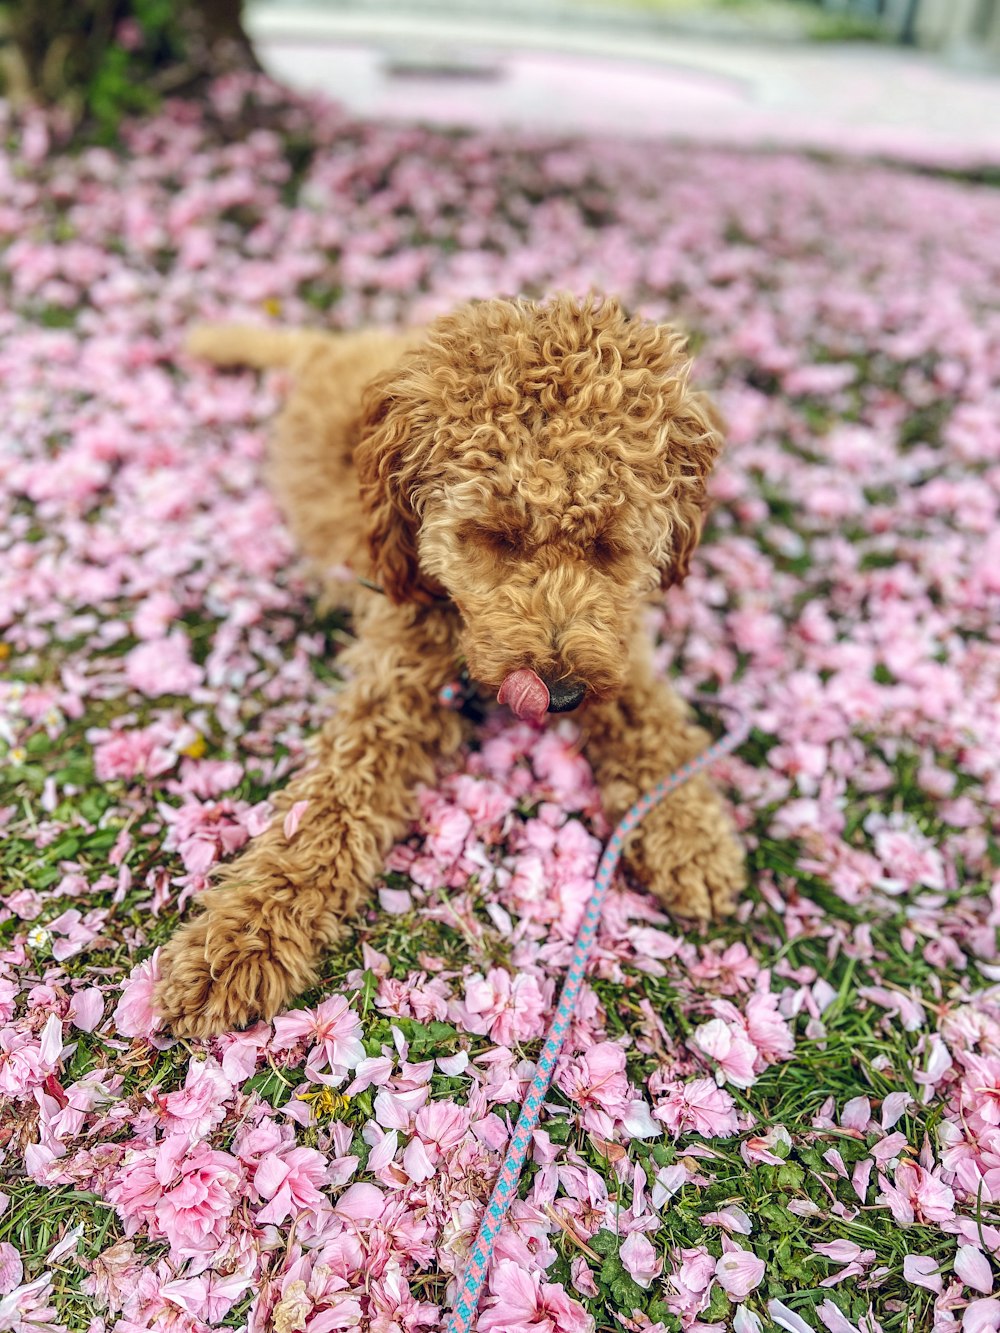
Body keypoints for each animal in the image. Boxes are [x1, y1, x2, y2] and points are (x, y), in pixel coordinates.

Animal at [154, 294, 746, 1039]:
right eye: (494, 535)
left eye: (609, 543)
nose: (559, 695)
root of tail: (329, 348)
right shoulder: (394, 681)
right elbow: (324, 816)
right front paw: (239, 943)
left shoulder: (615, 647)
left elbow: (654, 724)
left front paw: (688, 831)